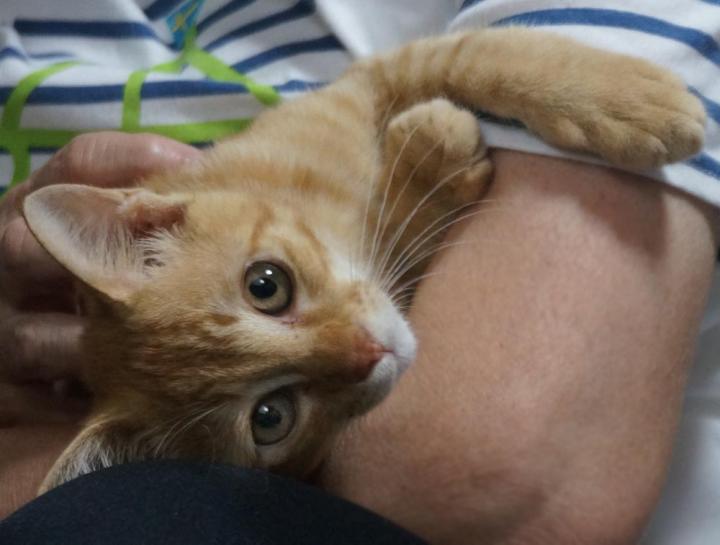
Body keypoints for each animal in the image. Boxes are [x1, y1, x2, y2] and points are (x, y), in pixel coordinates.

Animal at [21, 27, 705, 492]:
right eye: (271, 417)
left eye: (265, 285)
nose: (370, 350)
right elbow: (404, 234)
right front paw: (429, 156)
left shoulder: (363, 84)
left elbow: (472, 54)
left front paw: (625, 101)